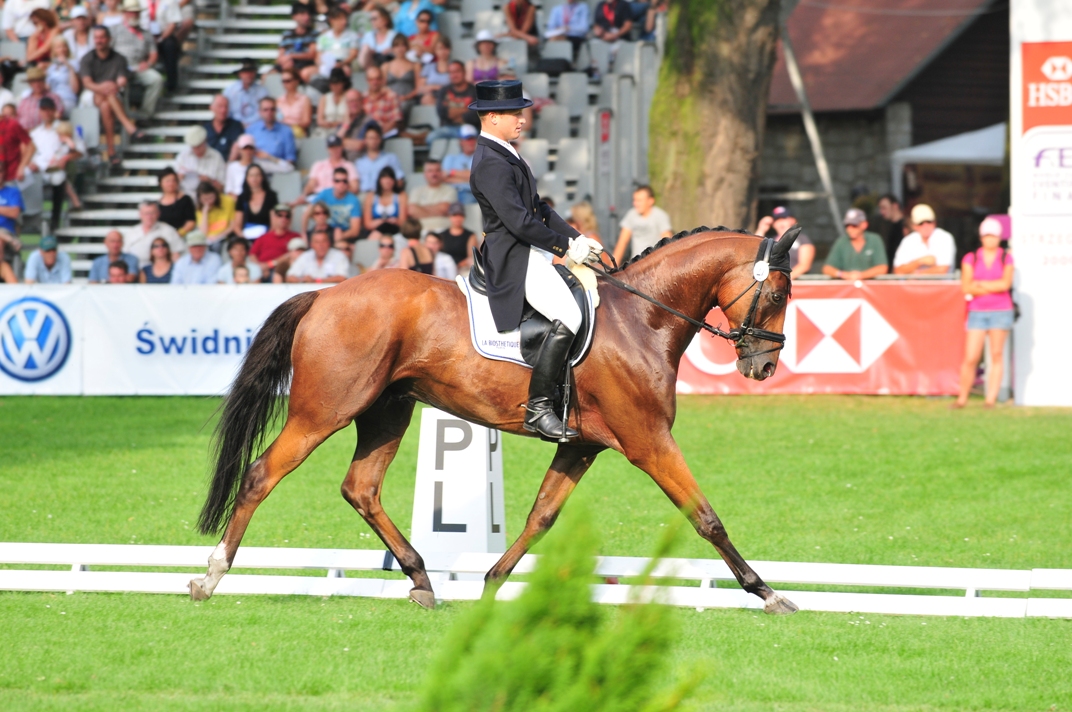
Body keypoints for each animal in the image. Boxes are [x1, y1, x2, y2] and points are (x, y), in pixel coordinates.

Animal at [191, 226, 802, 615]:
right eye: (777, 293)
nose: (764, 367)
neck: (642, 318)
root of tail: (324, 294)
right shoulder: (648, 440)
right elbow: (706, 518)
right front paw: (768, 593)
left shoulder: (581, 445)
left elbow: (541, 517)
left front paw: (490, 585)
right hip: (325, 409)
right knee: (261, 475)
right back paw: (211, 576)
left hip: (387, 411)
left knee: (360, 488)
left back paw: (421, 580)